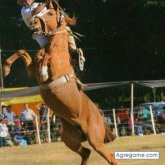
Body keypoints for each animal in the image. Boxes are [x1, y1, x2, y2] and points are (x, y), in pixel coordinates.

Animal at [3, 0, 117, 164]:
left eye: (50, 13)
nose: (33, 23)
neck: (57, 49)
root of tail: (100, 116)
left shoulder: (55, 69)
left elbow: (45, 58)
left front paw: (44, 70)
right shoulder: (32, 70)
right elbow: (23, 51)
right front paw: (6, 68)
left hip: (96, 140)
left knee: (110, 157)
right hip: (69, 139)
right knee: (86, 152)